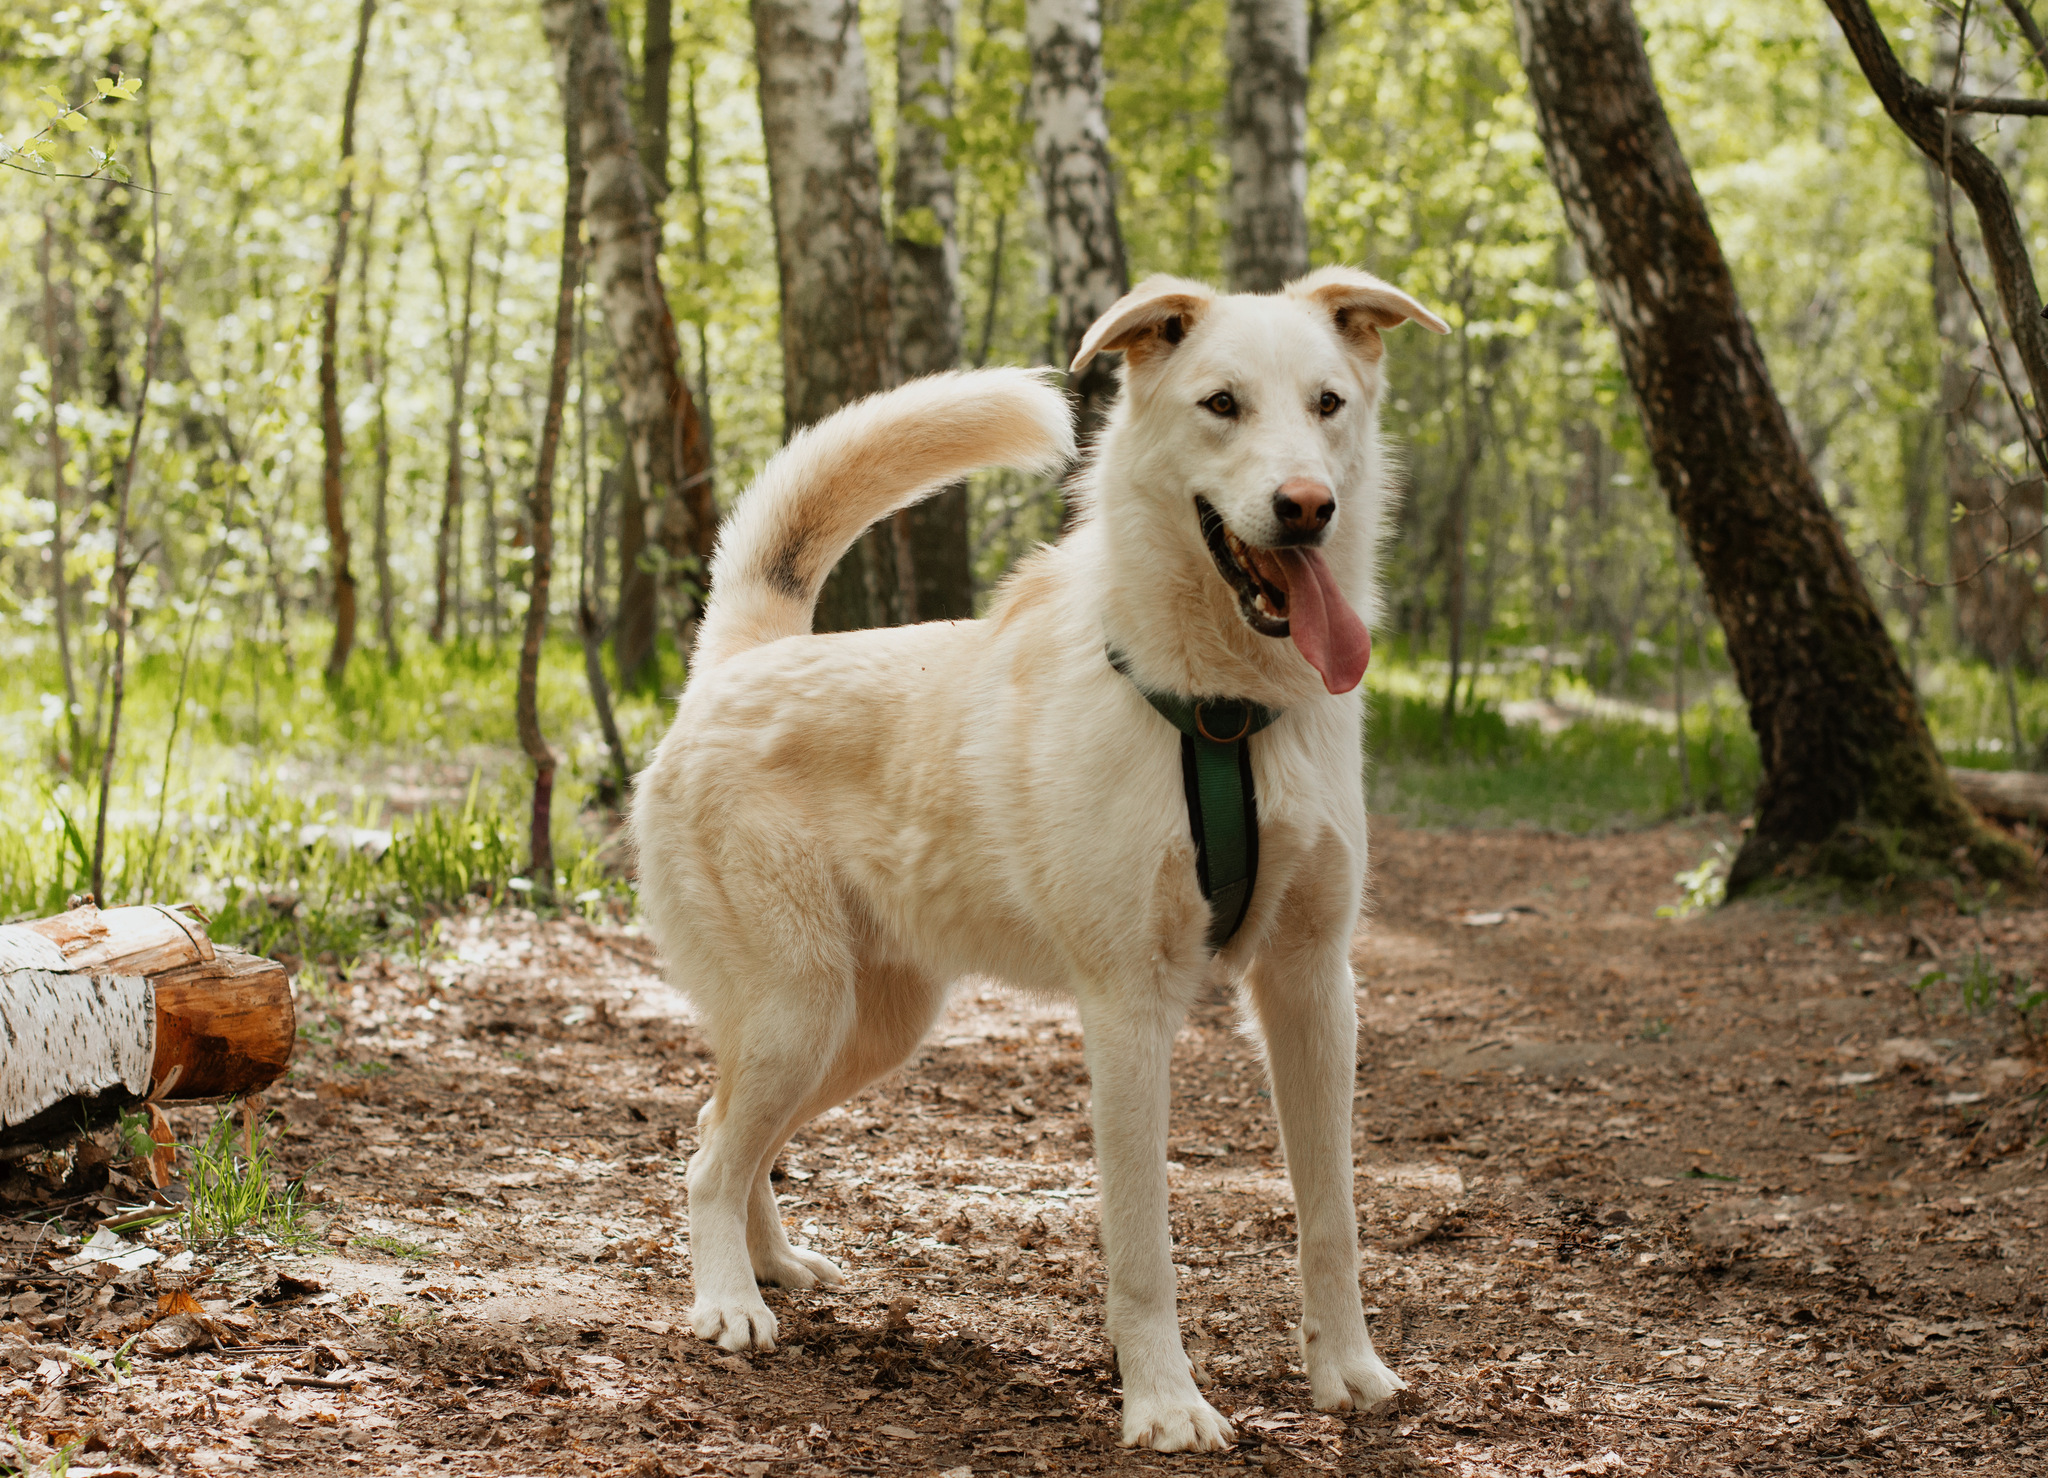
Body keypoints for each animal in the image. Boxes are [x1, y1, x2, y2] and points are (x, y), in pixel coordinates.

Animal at [630, 262, 1449, 1441]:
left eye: (1328, 403)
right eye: (1222, 403)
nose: (1306, 506)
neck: (1225, 718)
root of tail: (747, 657)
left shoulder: (1311, 987)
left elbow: (1329, 1216)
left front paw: (1347, 1371)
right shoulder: (1128, 1008)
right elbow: (1143, 1245)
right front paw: (1164, 1404)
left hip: (864, 1028)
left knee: (724, 1127)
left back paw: (772, 1265)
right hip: (800, 1010)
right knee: (707, 1154)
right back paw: (727, 1301)